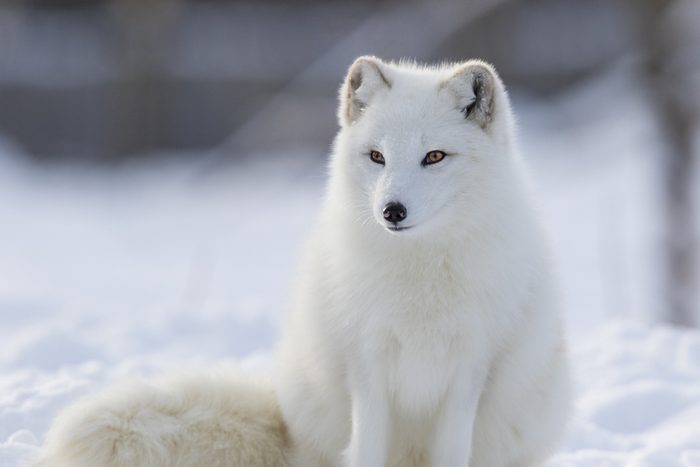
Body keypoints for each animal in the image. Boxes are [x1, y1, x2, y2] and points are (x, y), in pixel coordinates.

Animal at [31, 57, 570, 467]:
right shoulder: (365, 364)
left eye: (435, 156)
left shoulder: (470, 368)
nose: (391, 211)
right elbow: (367, 450)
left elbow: (453, 452)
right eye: (377, 157)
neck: (417, 278)